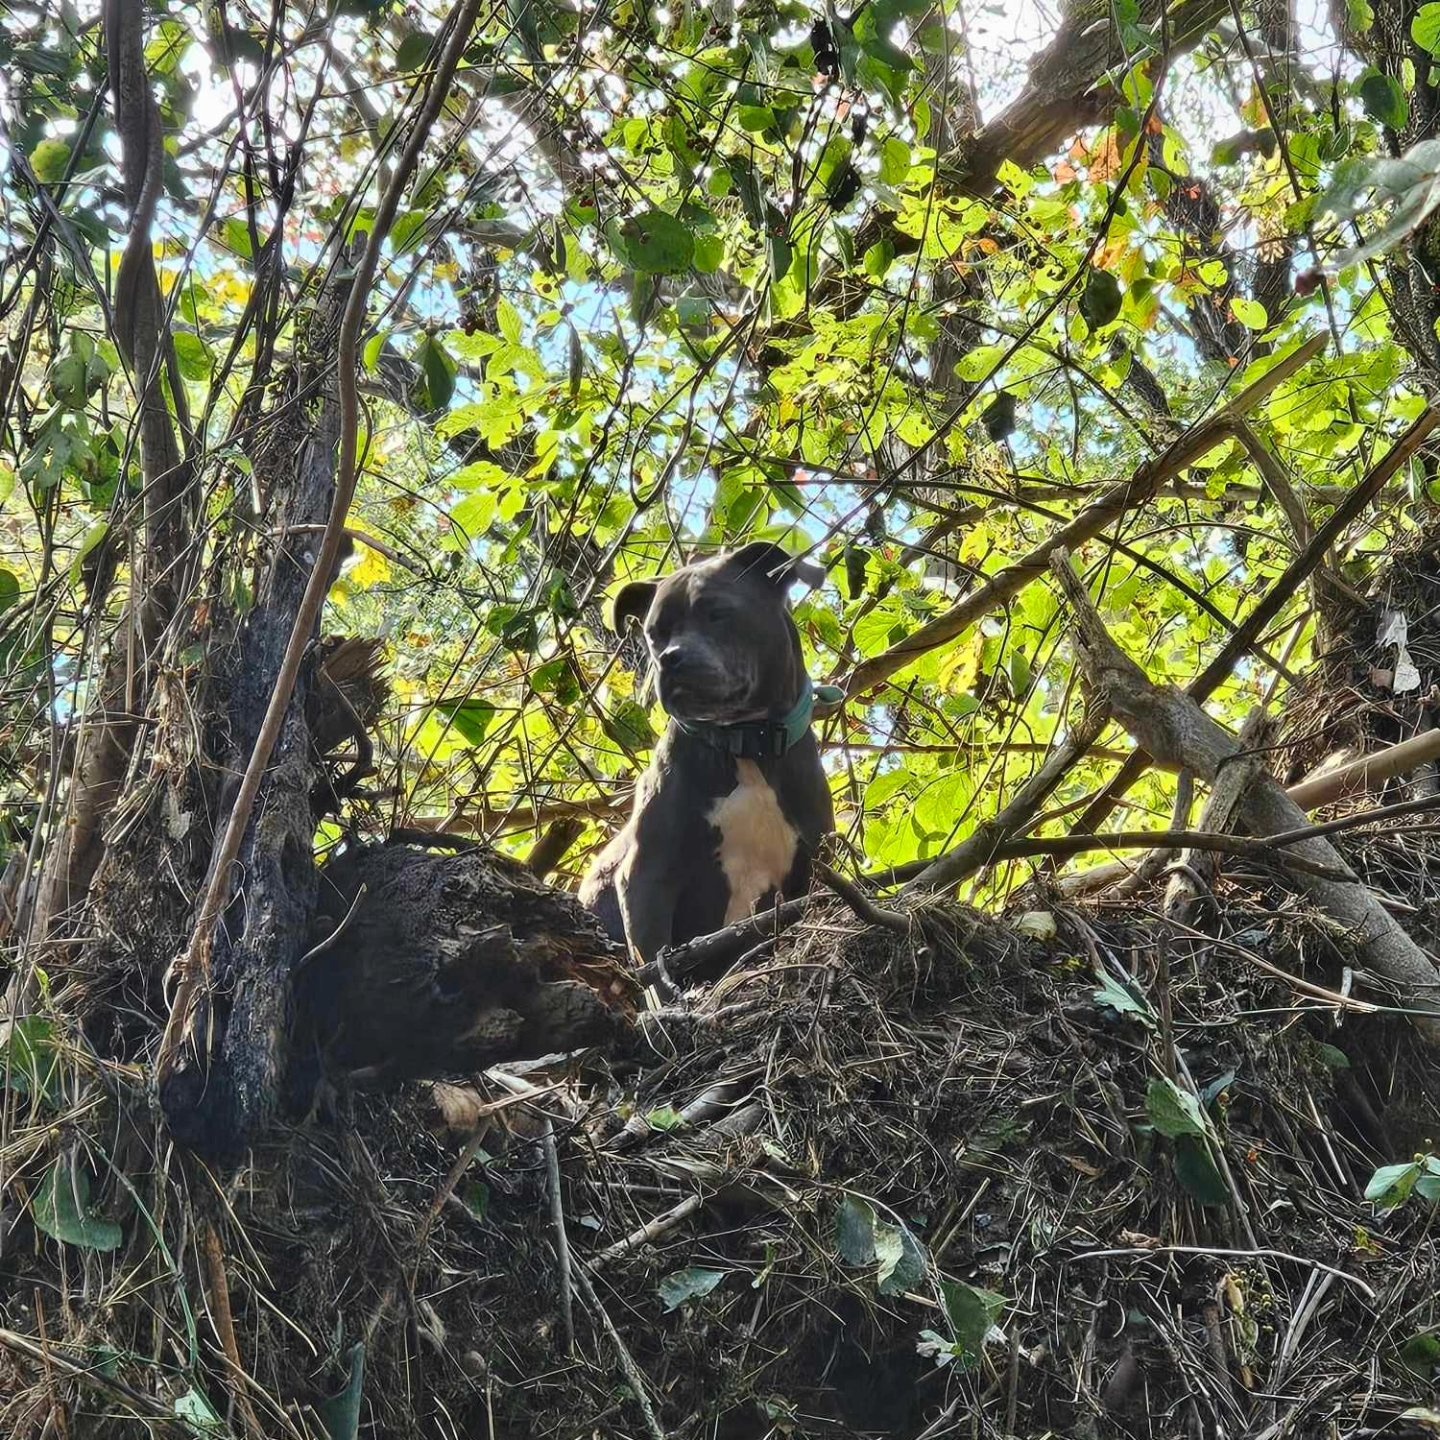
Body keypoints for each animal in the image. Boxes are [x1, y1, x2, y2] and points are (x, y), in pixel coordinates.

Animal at [578, 544, 840, 973]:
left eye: (716, 611)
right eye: (654, 633)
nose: (669, 657)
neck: (746, 742)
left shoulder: (808, 870)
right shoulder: (646, 875)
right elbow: (654, 966)